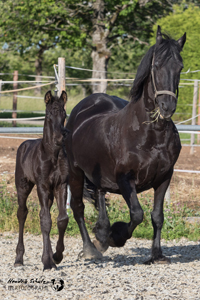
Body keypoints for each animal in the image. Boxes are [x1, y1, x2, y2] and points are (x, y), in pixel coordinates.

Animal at [14, 90, 69, 270]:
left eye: (65, 115)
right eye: (49, 115)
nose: (61, 138)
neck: (52, 156)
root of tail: (24, 144)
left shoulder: (60, 185)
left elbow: (61, 219)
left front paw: (56, 257)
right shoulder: (42, 186)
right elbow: (45, 221)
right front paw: (47, 261)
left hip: (49, 193)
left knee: (43, 214)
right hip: (23, 186)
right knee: (22, 213)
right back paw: (19, 259)